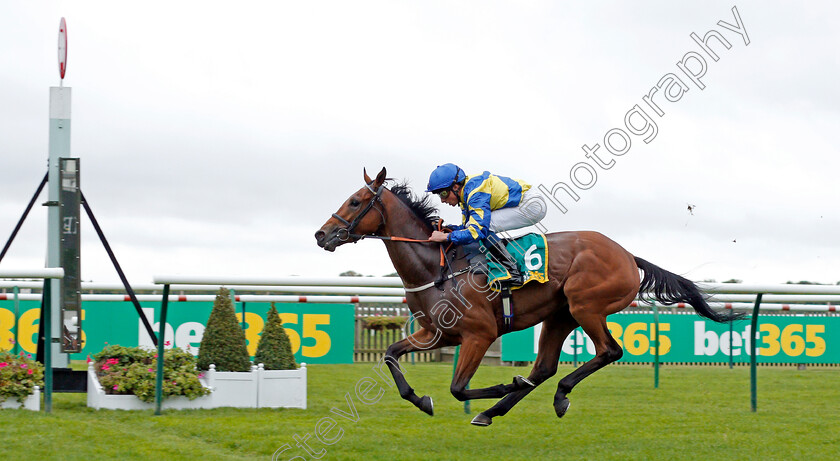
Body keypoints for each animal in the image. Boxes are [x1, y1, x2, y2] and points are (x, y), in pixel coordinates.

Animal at [316, 168, 740, 424]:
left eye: (355, 201)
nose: (322, 235)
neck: (436, 269)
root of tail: (626, 254)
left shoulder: (479, 334)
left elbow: (457, 388)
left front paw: (505, 384)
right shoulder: (435, 334)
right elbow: (390, 354)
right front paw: (421, 400)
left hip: (586, 305)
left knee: (609, 351)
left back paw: (554, 395)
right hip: (560, 315)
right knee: (545, 368)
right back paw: (496, 410)